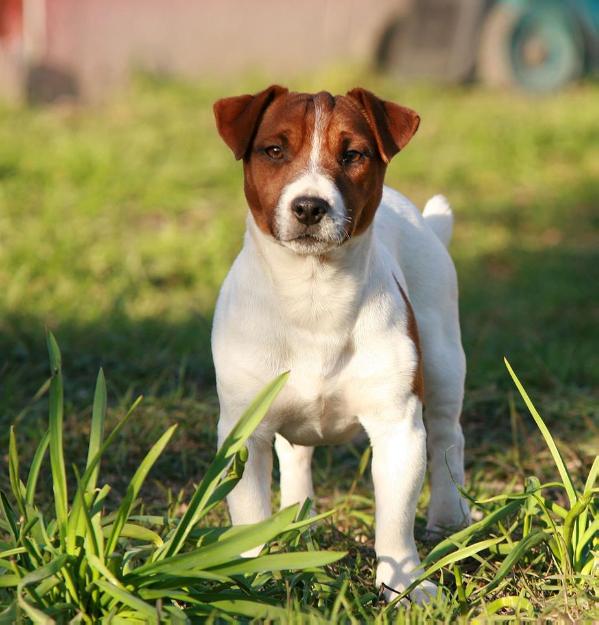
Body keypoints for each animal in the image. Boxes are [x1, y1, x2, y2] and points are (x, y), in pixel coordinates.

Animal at [213, 85, 472, 604]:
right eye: (275, 150)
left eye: (353, 154)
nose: (310, 206)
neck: (314, 297)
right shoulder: (244, 432)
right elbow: (249, 517)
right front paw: (250, 579)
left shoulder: (397, 429)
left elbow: (394, 524)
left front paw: (406, 587)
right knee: (295, 457)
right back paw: (301, 528)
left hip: (442, 360)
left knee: (447, 437)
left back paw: (449, 520)